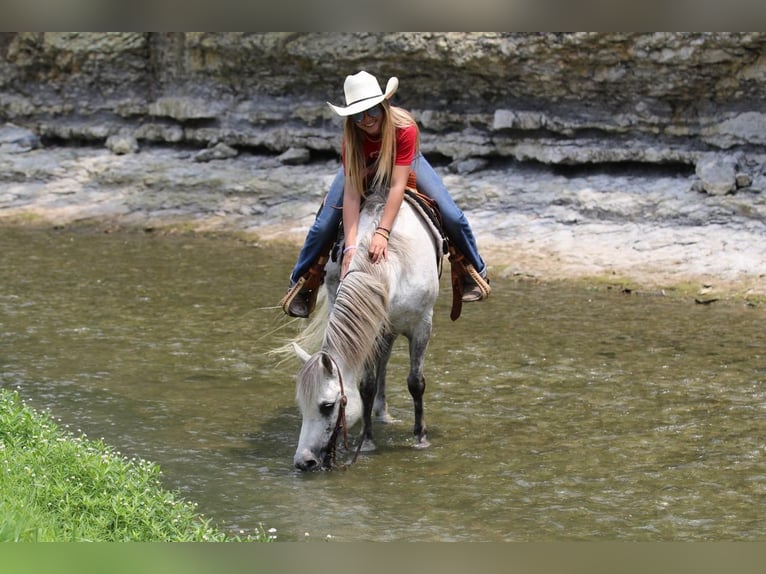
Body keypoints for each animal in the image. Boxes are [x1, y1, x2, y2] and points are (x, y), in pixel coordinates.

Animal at [292, 190, 440, 472]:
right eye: (301, 406)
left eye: (327, 406)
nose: (304, 461)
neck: (393, 265)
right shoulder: (373, 329)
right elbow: (366, 385)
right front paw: (368, 440)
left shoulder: (422, 325)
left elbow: (416, 382)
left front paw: (420, 438)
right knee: (382, 363)